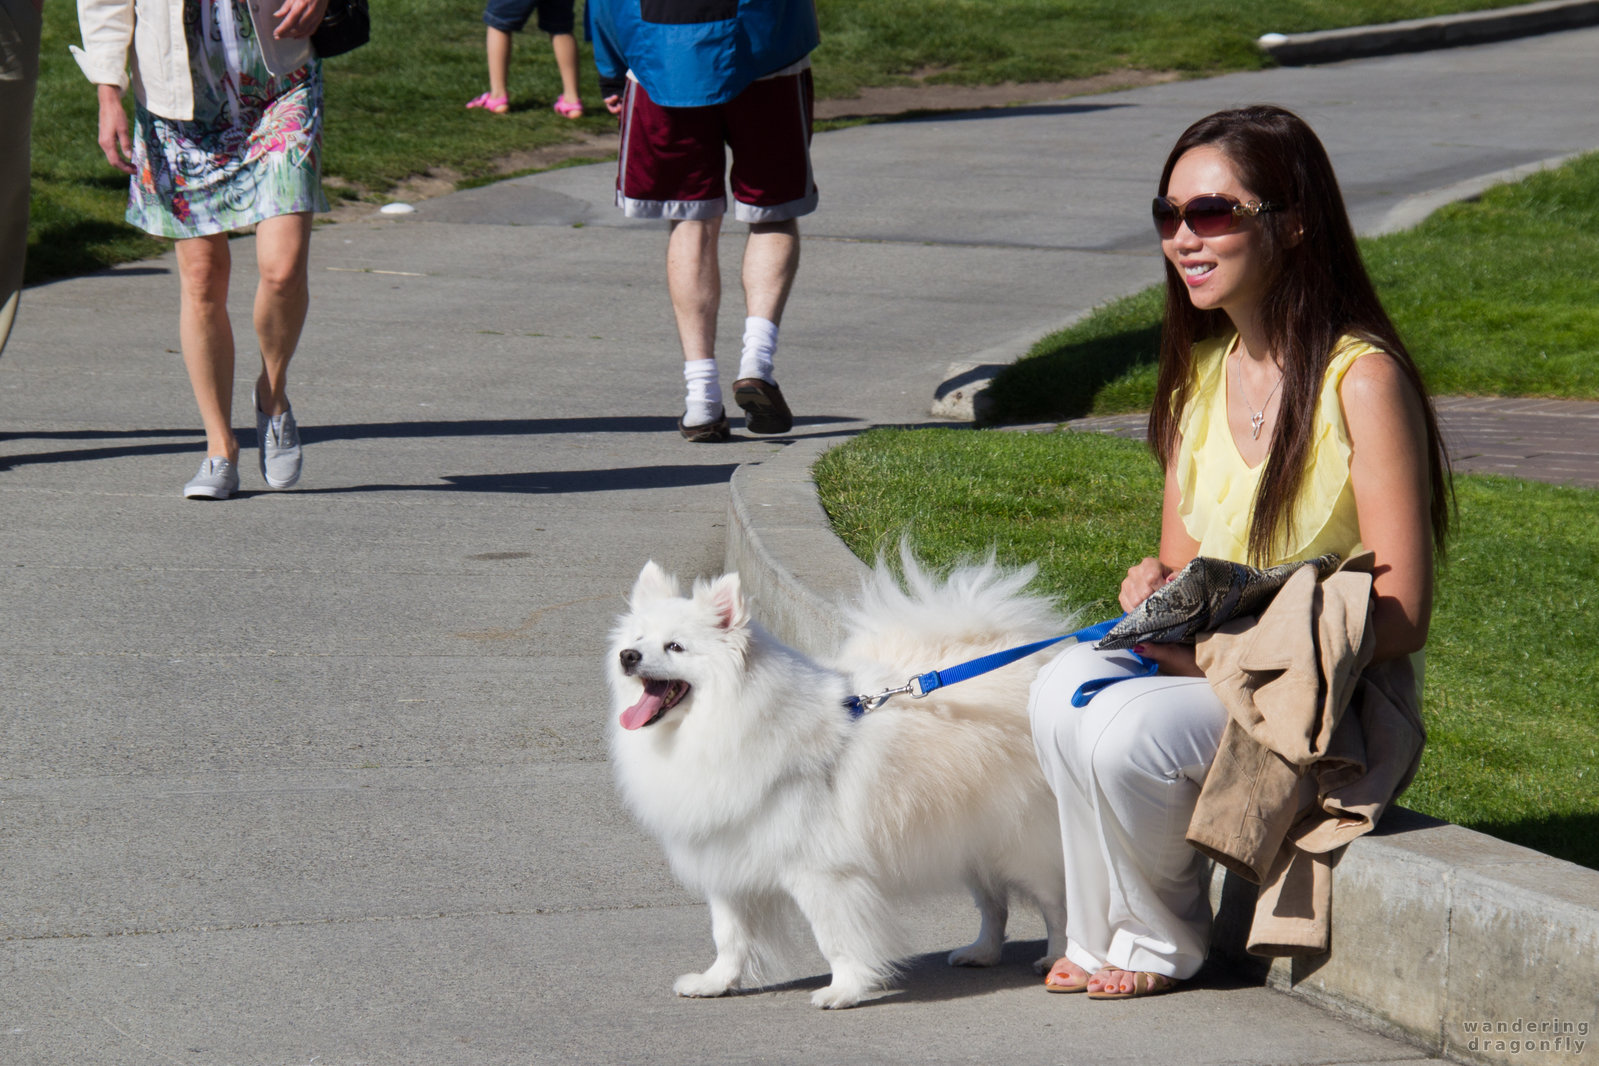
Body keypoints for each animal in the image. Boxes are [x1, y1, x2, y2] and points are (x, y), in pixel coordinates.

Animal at [604, 549, 1068, 1010]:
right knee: (994, 904)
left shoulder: (822, 872)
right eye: (638, 639)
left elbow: (836, 938)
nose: (627, 656)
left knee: (1057, 904)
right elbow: (729, 936)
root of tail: (1031, 662)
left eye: (675, 646)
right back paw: (983, 952)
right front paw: (716, 982)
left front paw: (844, 990)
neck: (722, 721)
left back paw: (1058, 960)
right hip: (972, 839)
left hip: (1024, 846)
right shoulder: (728, 860)